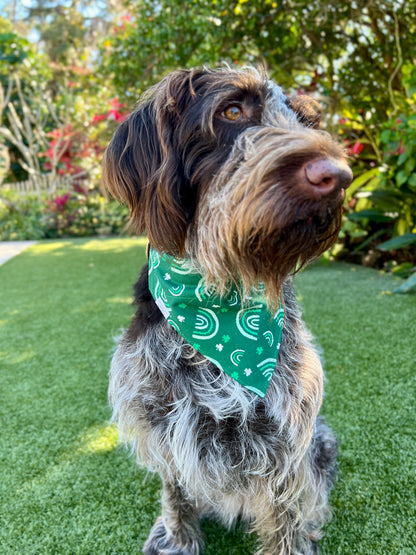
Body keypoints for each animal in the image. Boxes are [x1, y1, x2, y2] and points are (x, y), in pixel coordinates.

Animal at [102, 67, 352, 552]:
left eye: (306, 121)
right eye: (232, 111)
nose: (339, 176)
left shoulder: (285, 439)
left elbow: (287, 514)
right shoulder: (163, 421)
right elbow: (176, 493)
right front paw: (178, 540)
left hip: (322, 440)